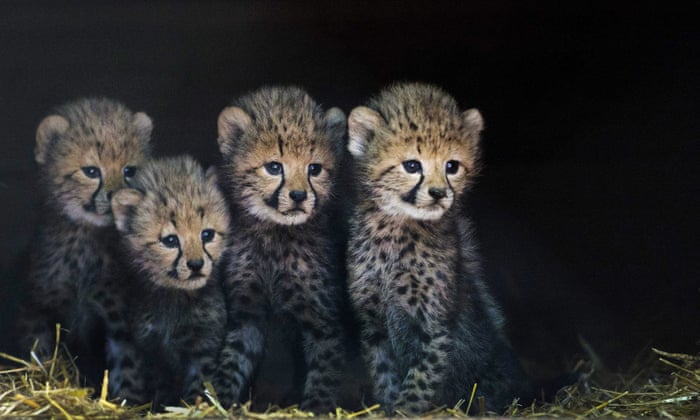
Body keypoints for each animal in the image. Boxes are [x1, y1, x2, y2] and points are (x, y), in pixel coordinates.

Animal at [16, 97, 152, 387]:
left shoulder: (119, 324)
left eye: (129, 170)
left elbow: (128, 372)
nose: (115, 195)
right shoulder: (36, 310)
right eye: (91, 171)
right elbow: (39, 356)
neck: (85, 238)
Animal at [109, 155, 230, 408]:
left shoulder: (204, 347)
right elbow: (160, 388)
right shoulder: (152, 351)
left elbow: (199, 384)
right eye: (171, 240)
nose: (196, 264)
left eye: (207, 235)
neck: (175, 298)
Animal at [215, 86, 348, 413]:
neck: (275, 237)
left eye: (314, 169)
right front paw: (219, 399)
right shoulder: (247, 315)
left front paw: (315, 408)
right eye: (274, 167)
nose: (299, 196)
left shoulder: (323, 322)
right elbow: (232, 360)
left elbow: (324, 372)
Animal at [346, 82, 531, 415]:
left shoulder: (434, 327)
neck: (396, 230)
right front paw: (389, 406)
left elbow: (421, 378)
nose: (438, 193)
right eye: (411, 165)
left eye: (451, 166)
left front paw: (405, 409)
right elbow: (384, 375)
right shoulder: (373, 323)